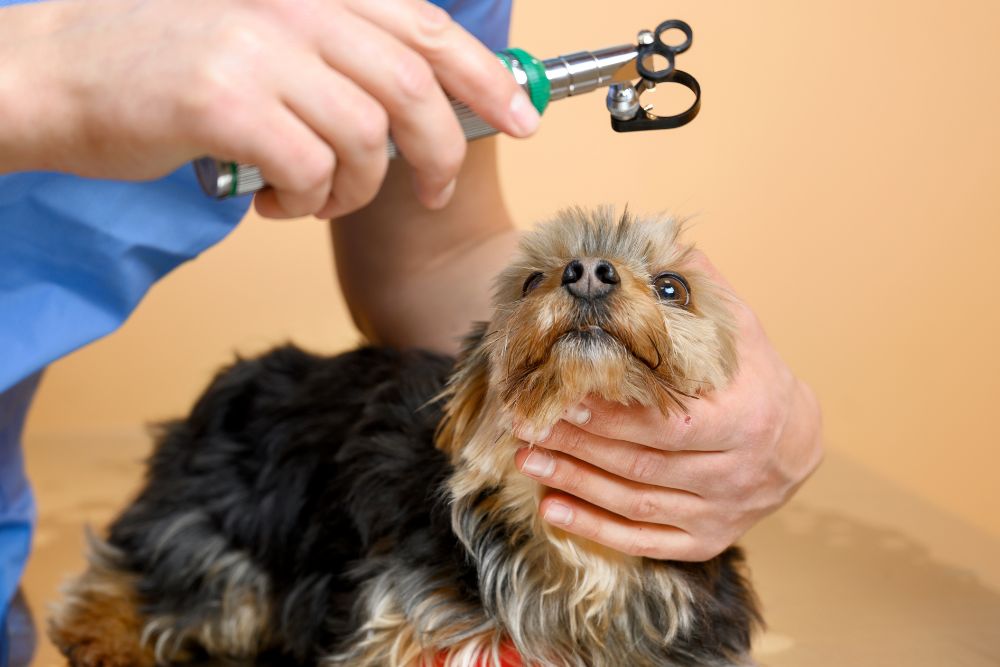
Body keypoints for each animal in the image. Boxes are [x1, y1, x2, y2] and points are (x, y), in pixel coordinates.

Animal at [48, 206, 756, 664]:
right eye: (531, 280)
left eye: (674, 287)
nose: (586, 271)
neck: (573, 553)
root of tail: (237, 379)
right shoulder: (401, 617)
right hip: (230, 515)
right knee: (166, 570)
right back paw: (103, 636)